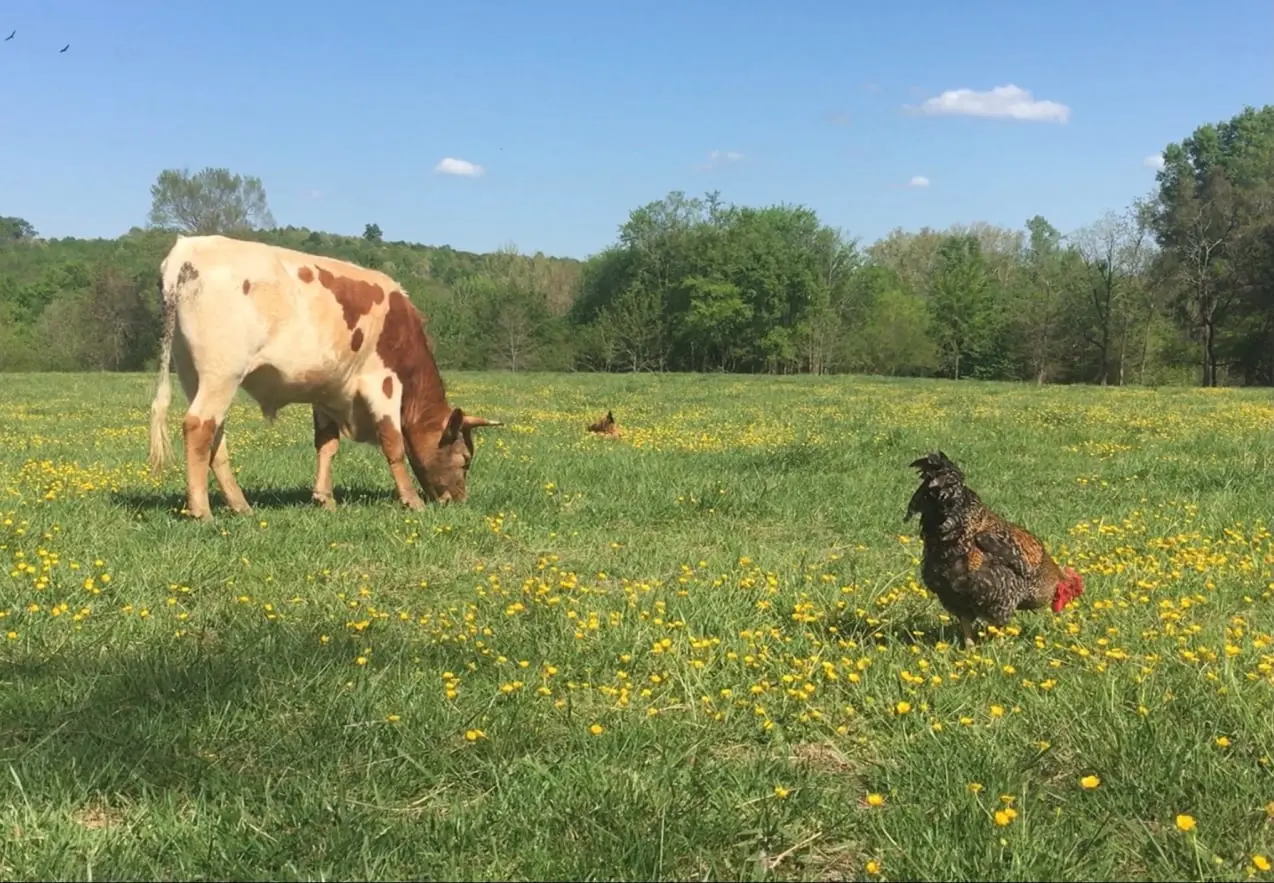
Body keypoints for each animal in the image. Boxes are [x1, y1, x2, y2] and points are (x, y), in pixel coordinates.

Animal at [147, 235, 501, 522]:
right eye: (465, 459)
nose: (458, 500)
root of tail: (187, 249)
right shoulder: (383, 382)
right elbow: (394, 442)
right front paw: (412, 500)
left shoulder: (329, 391)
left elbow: (327, 445)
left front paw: (324, 498)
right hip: (222, 372)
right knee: (199, 426)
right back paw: (201, 510)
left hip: (192, 373)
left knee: (216, 435)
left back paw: (240, 505)